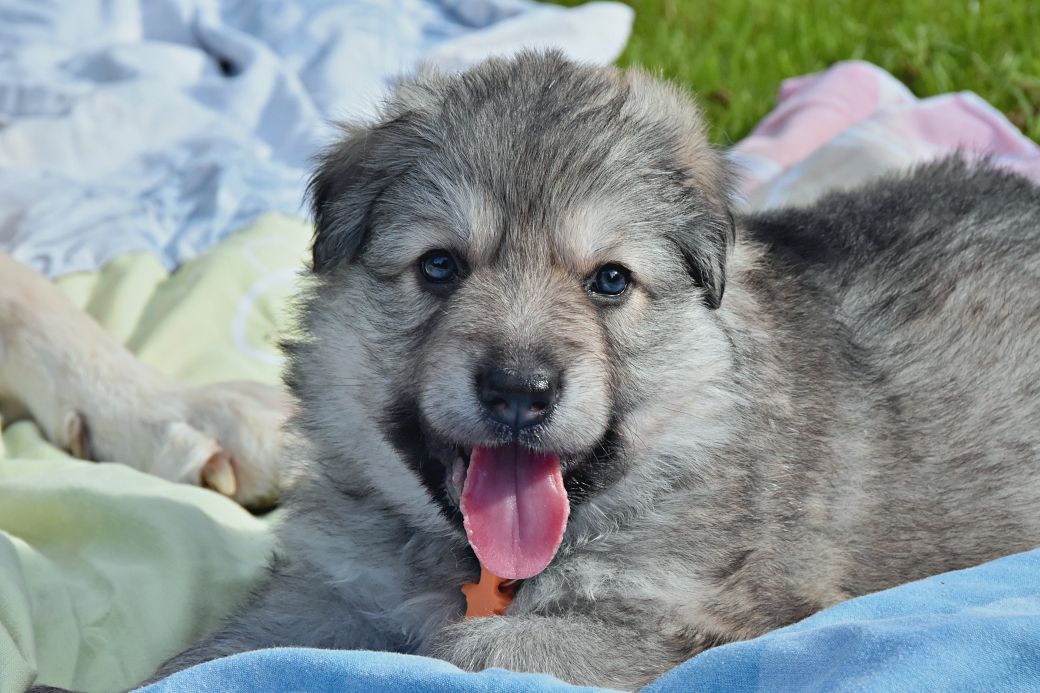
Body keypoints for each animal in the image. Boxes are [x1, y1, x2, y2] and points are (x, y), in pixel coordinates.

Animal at [8, 51, 1039, 691]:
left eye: (609, 280)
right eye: (439, 266)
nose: (518, 390)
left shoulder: (682, 616)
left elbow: (465, 654)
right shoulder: (324, 590)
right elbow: (214, 657)